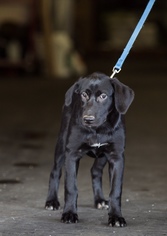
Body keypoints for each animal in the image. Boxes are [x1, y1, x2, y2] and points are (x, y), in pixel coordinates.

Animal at [44, 72, 134, 227]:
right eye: (84, 95)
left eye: (103, 96)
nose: (88, 119)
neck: (97, 130)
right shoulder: (72, 154)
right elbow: (71, 188)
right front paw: (69, 213)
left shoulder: (116, 157)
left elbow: (115, 191)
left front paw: (116, 217)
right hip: (61, 144)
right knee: (55, 171)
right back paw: (51, 201)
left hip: (102, 156)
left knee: (95, 171)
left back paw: (99, 200)